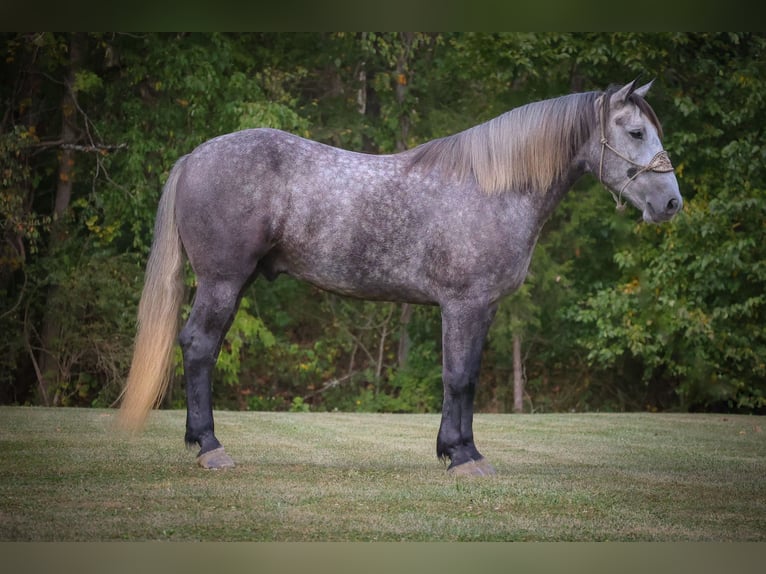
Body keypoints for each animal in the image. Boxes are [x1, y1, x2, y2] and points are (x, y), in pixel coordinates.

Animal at [118, 80, 684, 476]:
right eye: (636, 132)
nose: (671, 204)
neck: (492, 188)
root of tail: (195, 156)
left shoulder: (483, 308)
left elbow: (466, 377)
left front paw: (458, 450)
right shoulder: (463, 304)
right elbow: (459, 377)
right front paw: (463, 458)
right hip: (222, 281)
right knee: (198, 347)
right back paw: (209, 448)